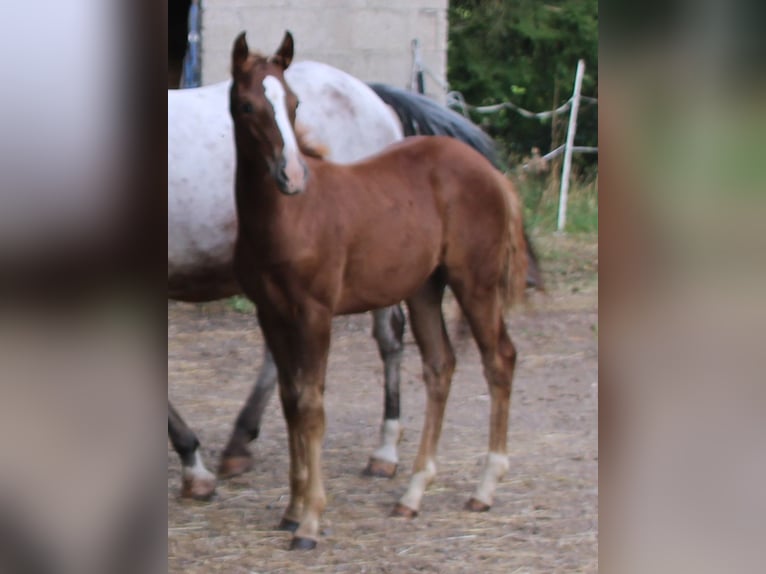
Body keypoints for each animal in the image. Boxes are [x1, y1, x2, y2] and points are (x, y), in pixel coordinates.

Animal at [230, 32, 528, 552]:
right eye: (247, 105)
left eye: (294, 102)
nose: (292, 176)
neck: (289, 217)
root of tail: (492, 174)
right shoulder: (271, 313)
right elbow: (289, 401)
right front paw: (291, 511)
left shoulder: (315, 312)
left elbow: (311, 406)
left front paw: (310, 523)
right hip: (425, 288)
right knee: (440, 366)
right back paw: (412, 494)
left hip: (476, 282)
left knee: (500, 360)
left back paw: (484, 489)